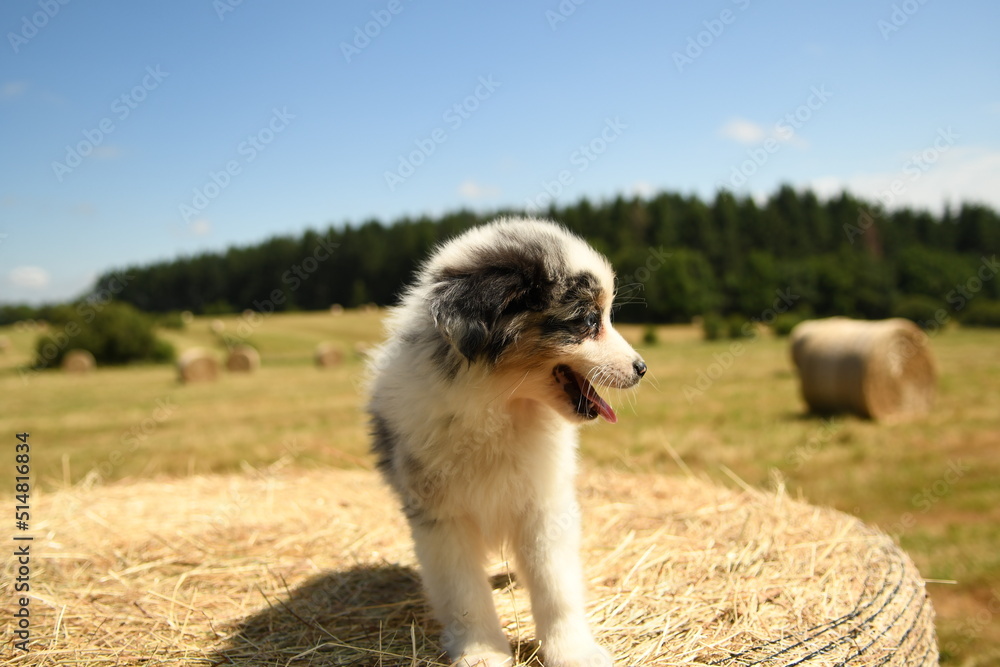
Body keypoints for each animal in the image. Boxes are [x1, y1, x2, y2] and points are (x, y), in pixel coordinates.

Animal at [368, 217, 648, 664]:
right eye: (588, 320)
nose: (642, 368)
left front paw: (573, 650)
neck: (499, 407)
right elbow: (464, 593)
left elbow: (556, 585)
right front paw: (481, 651)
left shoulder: (545, 504)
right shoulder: (440, 517)